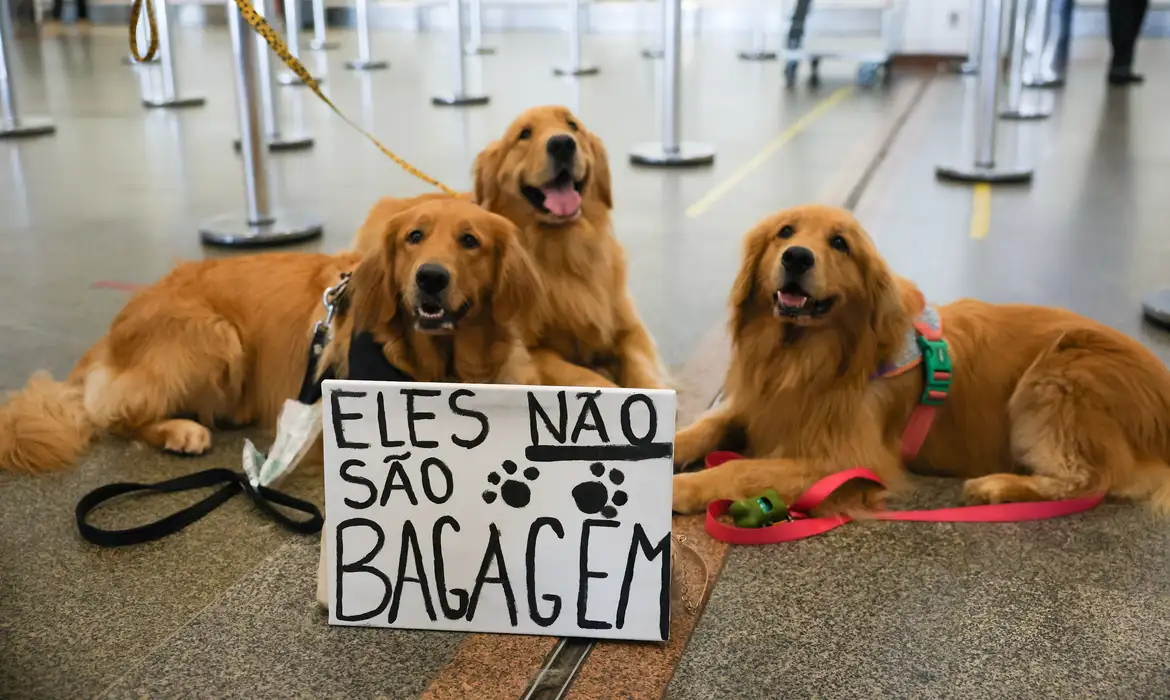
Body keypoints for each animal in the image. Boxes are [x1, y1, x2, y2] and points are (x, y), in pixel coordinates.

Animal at [0, 197, 545, 475]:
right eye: (415, 237)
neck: (440, 364)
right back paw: (181, 431)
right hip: (215, 337)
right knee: (116, 414)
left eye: (470, 241)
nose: (431, 277)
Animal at [348, 104, 669, 393]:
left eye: (573, 125)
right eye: (524, 134)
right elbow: (590, 379)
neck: (563, 253)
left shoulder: (628, 329)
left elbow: (644, 371)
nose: (563, 143)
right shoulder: (529, 350)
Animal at [669, 202, 1170, 515]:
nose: (796, 257)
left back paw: (996, 485)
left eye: (839, 243)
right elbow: (707, 426)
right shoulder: (759, 404)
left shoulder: (847, 459)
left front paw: (682, 487)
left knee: (1088, 479)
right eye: (785, 232)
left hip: (1058, 374)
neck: (802, 357)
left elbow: (741, 467)